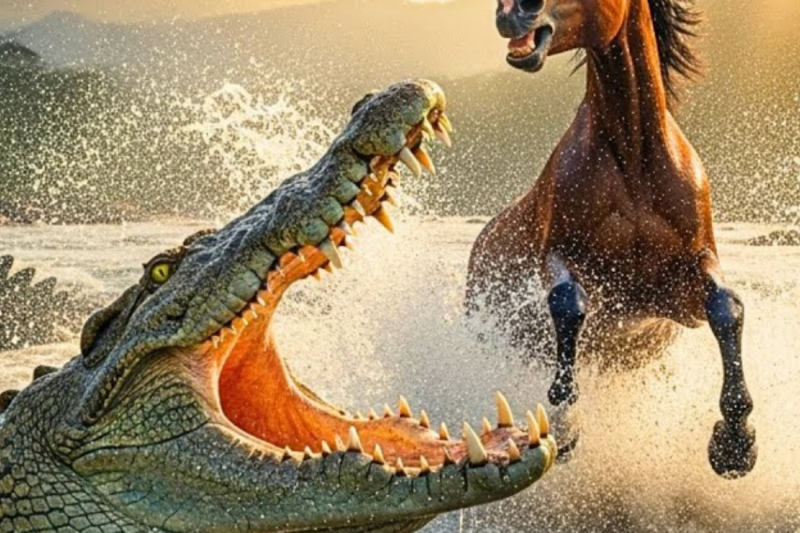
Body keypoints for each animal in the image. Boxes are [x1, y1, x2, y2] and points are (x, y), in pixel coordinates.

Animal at [466, 0, 757, 478]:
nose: (512, 13)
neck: (634, 160)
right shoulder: (560, 256)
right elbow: (568, 301)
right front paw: (563, 422)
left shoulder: (678, 293)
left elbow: (725, 307)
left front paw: (735, 444)